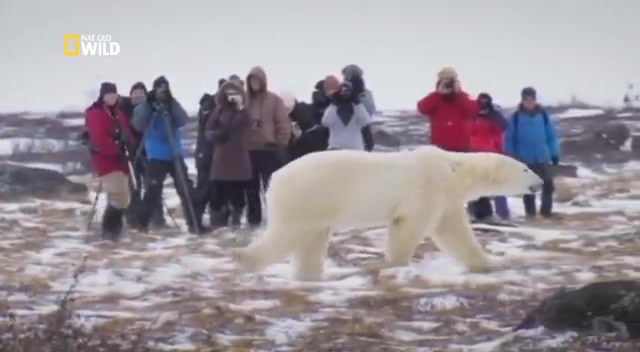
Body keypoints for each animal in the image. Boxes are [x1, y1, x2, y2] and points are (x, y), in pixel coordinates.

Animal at [232, 146, 544, 280]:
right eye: (525, 168)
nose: (540, 182)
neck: (454, 168)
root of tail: (275, 178)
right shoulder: (429, 186)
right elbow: (409, 224)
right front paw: (395, 263)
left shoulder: (447, 198)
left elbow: (454, 231)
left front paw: (488, 262)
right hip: (308, 197)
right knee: (286, 234)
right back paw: (245, 259)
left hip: (318, 207)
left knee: (310, 241)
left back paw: (309, 275)